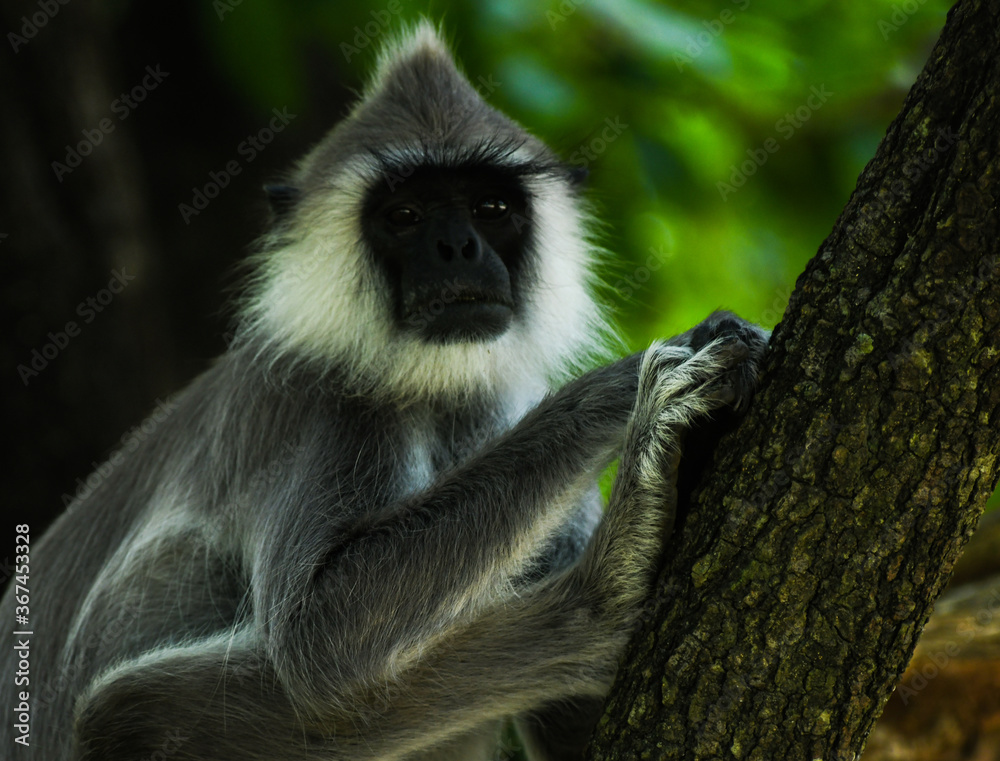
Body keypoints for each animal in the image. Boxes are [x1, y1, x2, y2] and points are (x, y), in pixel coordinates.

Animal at [1, 22, 769, 761]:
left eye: (491, 207)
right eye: (404, 216)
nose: (457, 248)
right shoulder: (326, 398)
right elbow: (320, 638)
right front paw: (622, 390)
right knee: (131, 712)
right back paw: (601, 595)